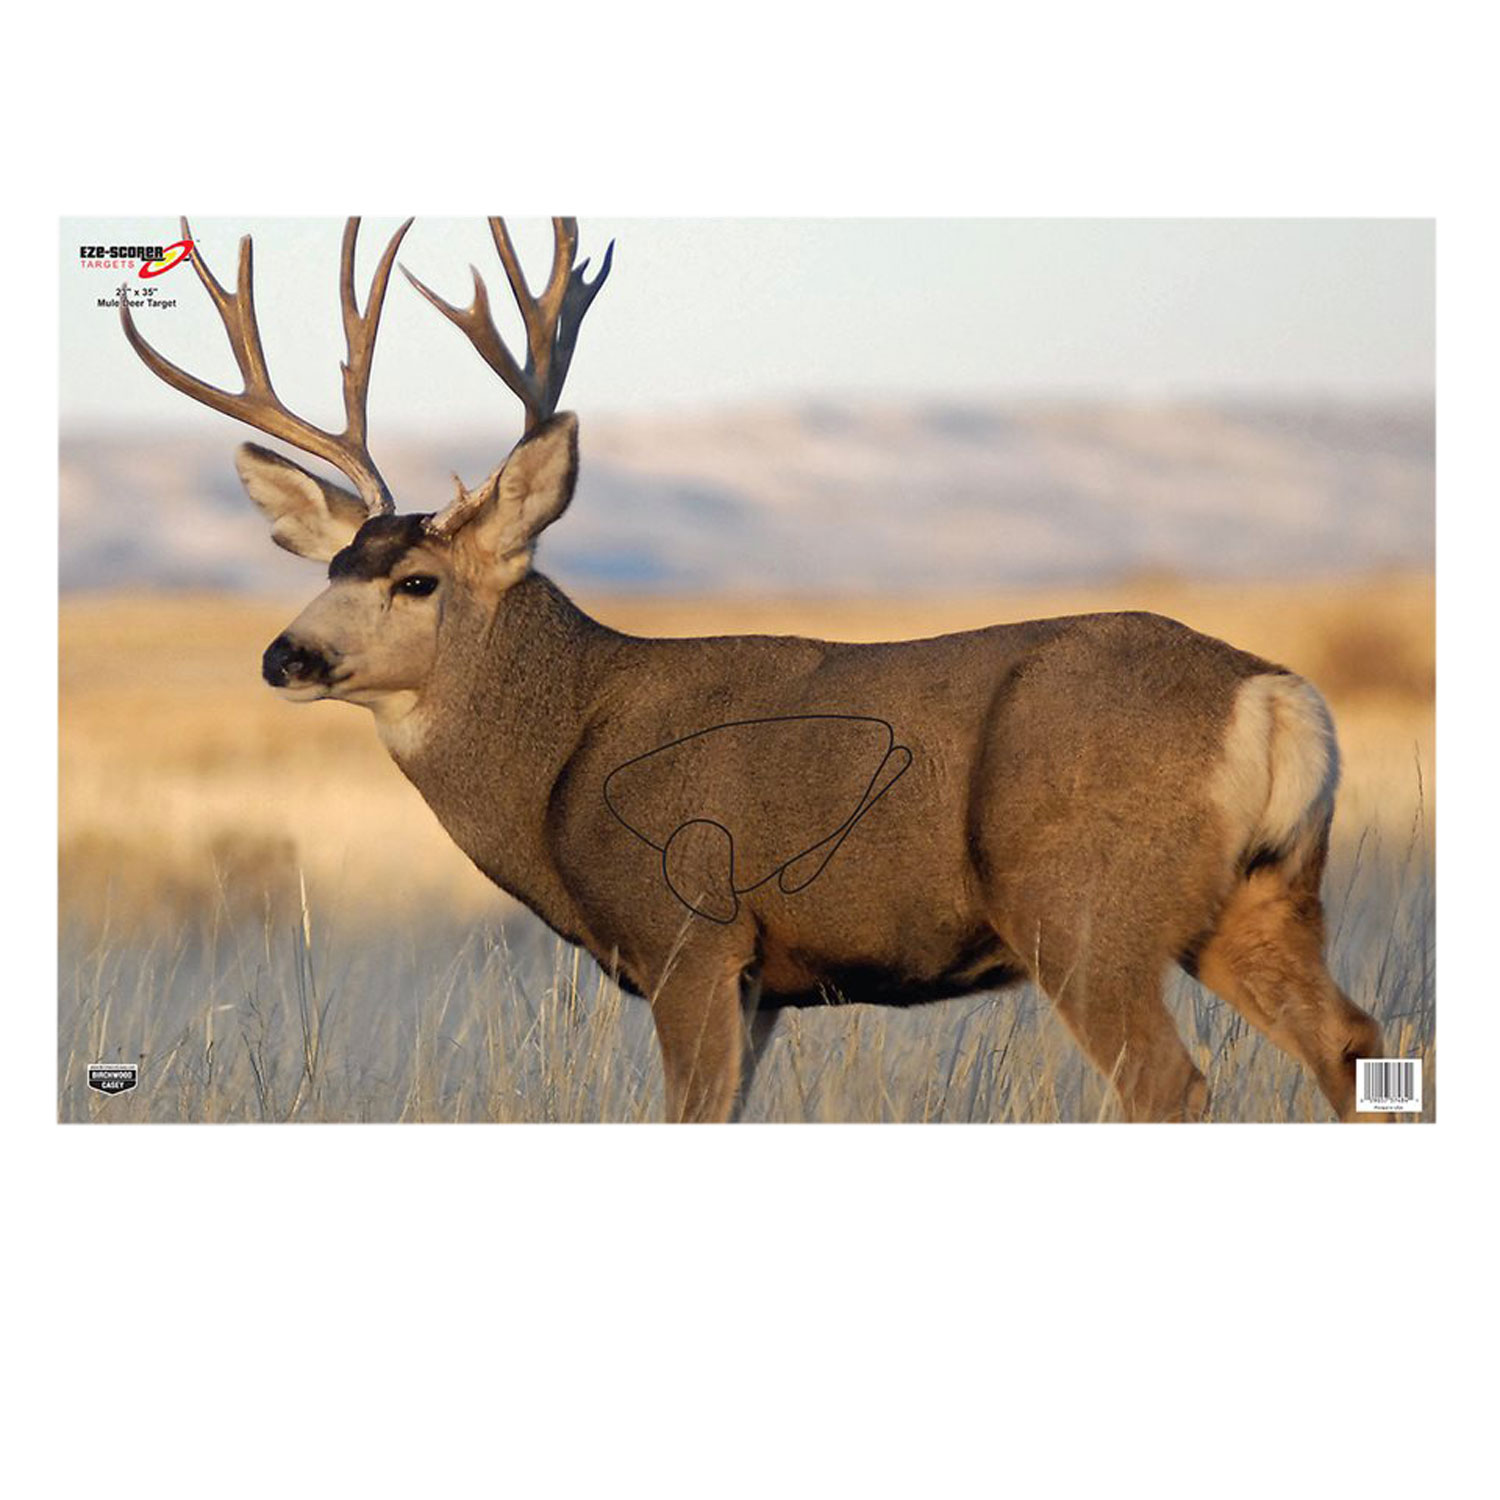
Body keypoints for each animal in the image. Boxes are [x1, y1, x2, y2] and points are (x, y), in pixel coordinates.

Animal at [119, 215, 1386, 1123]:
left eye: (418, 582)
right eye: (336, 560)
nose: (287, 654)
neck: (563, 758)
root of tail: (1273, 697)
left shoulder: (691, 934)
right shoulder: (768, 982)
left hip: (1083, 908)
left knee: (1176, 1084)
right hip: (1261, 899)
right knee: (1358, 1045)